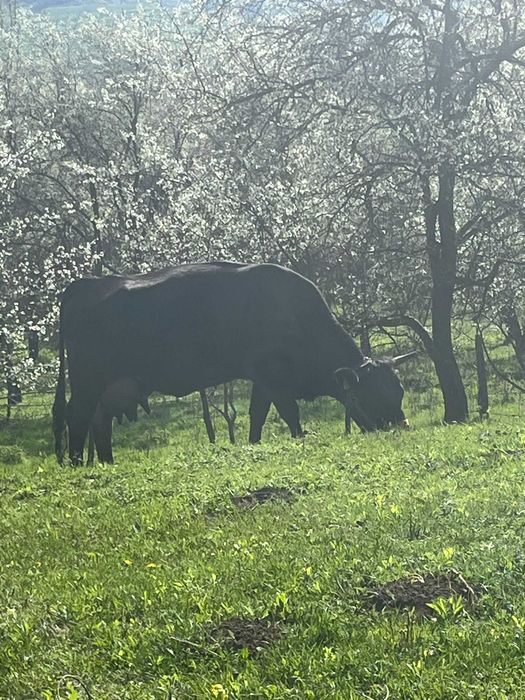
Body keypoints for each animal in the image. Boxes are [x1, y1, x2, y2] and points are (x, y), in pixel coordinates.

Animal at [52, 262, 415, 465]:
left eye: (398, 393)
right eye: (372, 397)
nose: (400, 428)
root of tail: (87, 284)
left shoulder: (263, 380)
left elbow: (258, 415)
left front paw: (254, 445)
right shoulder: (273, 375)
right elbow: (289, 414)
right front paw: (299, 438)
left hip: (111, 387)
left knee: (100, 422)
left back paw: (106, 462)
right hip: (88, 381)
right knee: (78, 416)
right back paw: (76, 462)